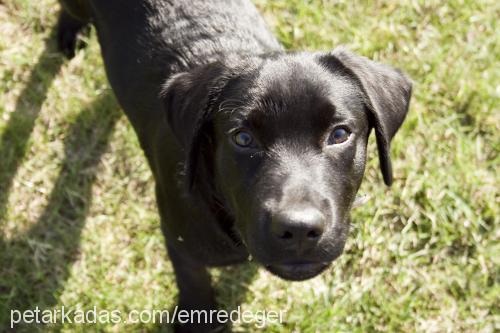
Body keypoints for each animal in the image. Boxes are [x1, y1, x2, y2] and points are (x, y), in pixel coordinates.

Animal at [56, 0, 412, 330]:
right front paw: (198, 320)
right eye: (242, 138)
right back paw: (68, 34)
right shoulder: (178, 236)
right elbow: (193, 281)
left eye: (339, 134)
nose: (298, 229)